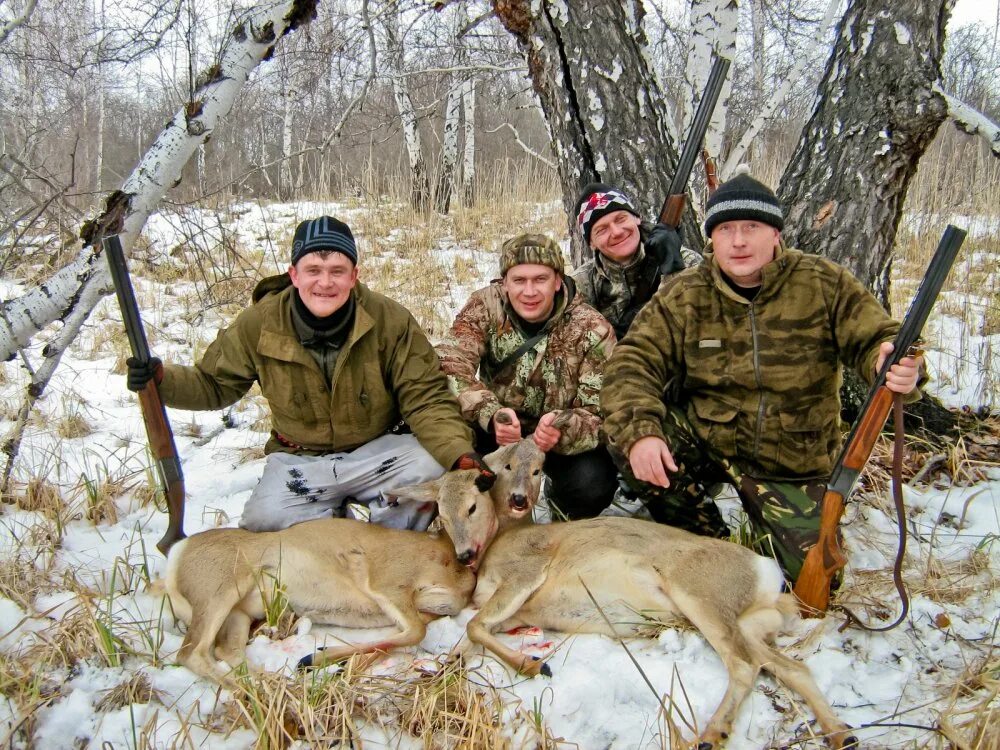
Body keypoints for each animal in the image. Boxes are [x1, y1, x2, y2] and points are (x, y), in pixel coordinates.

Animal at [464, 516, 856, 750]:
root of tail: (767, 573)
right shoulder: (516, 613)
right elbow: (474, 632)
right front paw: (532, 662)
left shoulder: (521, 576)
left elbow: (472, 626)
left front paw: (533, 664)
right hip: (745, 625)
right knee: (791, 667)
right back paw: (841, 733)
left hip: (699, 599)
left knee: (743, 665)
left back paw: (711, 734)